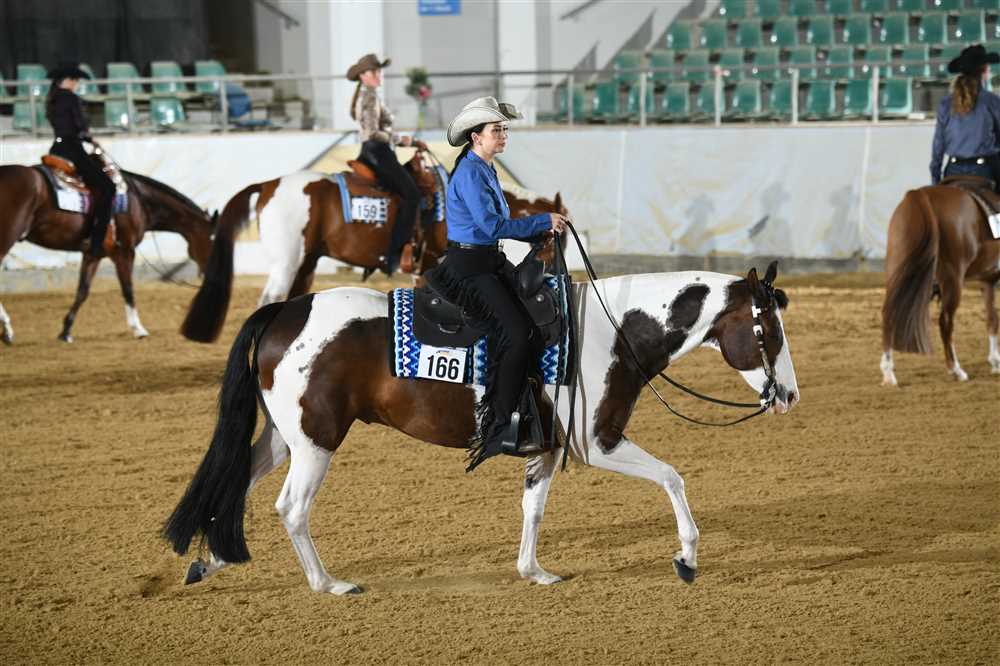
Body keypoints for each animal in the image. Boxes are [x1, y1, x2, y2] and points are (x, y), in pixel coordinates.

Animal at [0, 164, 216, 344]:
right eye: (214, 239)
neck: (138, 201)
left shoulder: (93, 254)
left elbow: (82, 291)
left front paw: (66, 331)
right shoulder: (125, 252)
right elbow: (128, 289)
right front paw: (138, 329)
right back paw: (7, 329)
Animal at [164, 260, 799, 594]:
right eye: (767, 332)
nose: (789, 395)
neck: (611, 330)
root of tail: (286, 310)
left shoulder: (549, 447)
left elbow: (533, 508)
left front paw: (533, 571)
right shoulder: (597, 443)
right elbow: (672, 477)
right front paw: (687, 558)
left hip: (283, 437)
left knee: (235, 481)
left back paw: (211, 559)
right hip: (316, 442)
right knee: (290, 508)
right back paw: (330, 584)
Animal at [179, 155, 569, 344]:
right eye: (559, 240)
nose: (554, 280)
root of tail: (269, 185)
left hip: (305, 264)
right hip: (286, 262)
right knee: (269, 297)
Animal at [880, 183, 1000, 385]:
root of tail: (920, 195)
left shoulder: (988, 279)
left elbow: (992, 319)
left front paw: (995, 362)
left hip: (897, 271)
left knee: (889, 314)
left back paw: (889, 373)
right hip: (952, 278)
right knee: (945, 321)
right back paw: (956, 370)